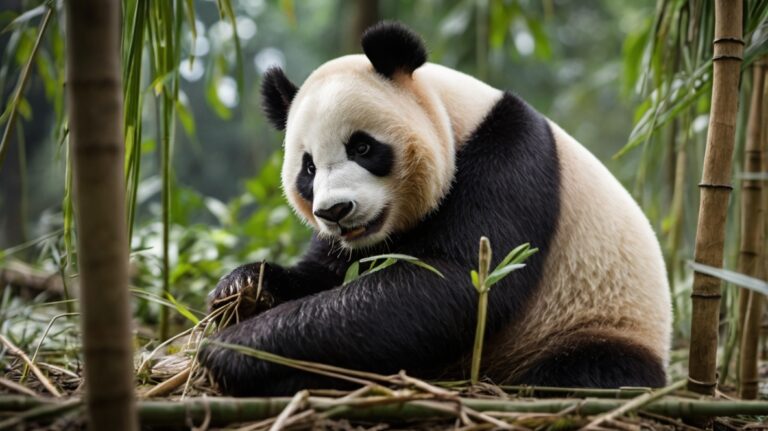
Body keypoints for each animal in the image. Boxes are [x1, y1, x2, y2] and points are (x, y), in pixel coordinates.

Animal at [199, 22, 672, 396]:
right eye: (308, 168)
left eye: (362, 147)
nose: (335, 211)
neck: (456, 114)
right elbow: (328, 273)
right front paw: (242, 288)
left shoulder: (510, 153)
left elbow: (457, 282)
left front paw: (234, 348)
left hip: (590, 325)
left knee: (580, 374)